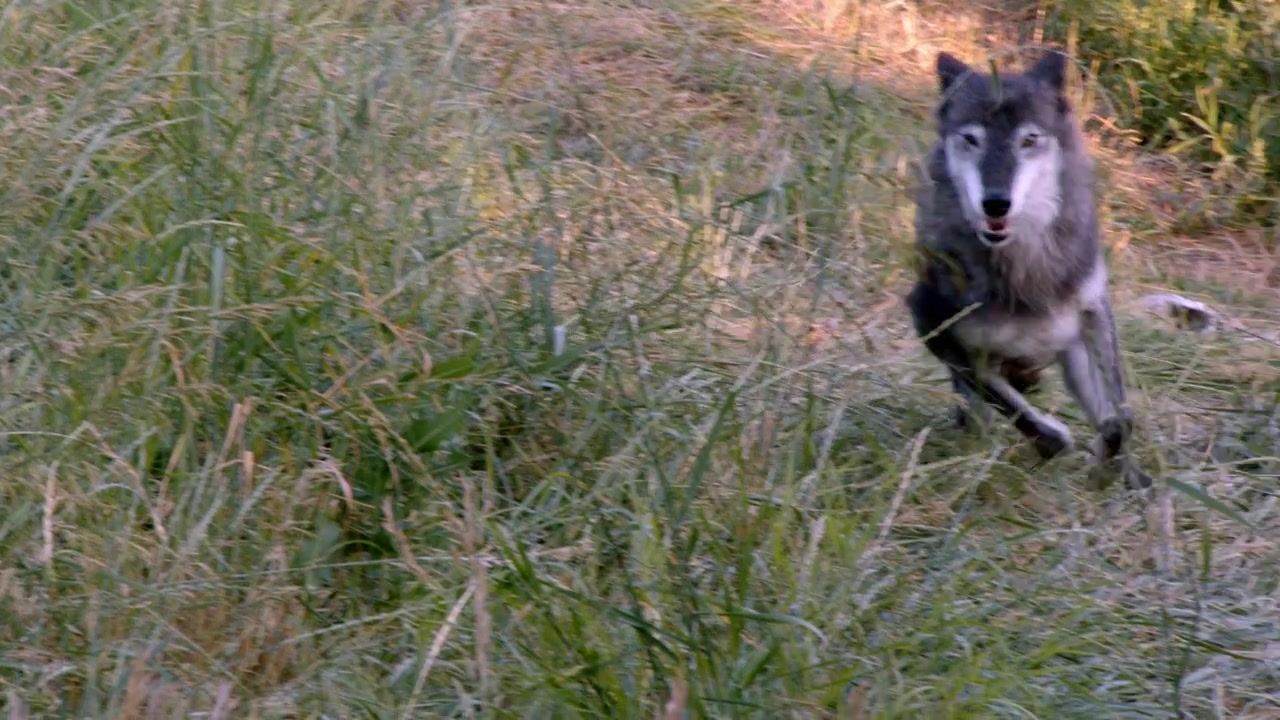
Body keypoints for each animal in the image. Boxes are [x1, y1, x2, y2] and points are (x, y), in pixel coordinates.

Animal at [905, 49, 1153, 490]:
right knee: (980, 412)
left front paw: (1114, 466)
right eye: (972, 139)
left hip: (1073, 353)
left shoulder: (1094, 311)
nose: (995, 203)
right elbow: (1037, 423)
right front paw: (1054, 444)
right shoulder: (934, 328)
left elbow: (1121, 418)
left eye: (1029, 139)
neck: (1025, 265)